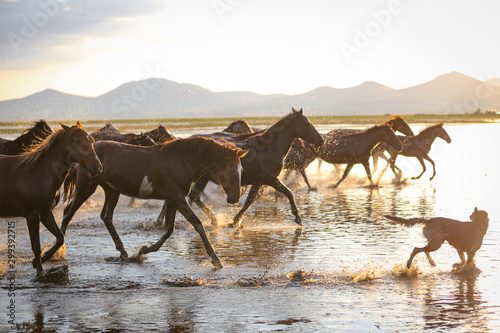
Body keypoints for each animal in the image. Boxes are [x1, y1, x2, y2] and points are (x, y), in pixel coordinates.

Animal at [0, 123, 102, 276]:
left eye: (91, 140)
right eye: (78, 141)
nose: (97, 167)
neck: (38, 173)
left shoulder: (46, 213)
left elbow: (60, 238)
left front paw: (40, 260)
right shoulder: (32, 215)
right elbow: (36, 246)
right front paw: (40, 272)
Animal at [61, 135, 247, 268]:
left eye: (241, 169)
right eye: (231, 168)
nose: (235, 198)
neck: (181, 161)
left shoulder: (172, 199)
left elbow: (169, 230)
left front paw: (144, 250)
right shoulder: (177, 198)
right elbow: (197, 224)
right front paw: (215, 259)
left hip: (112, 191)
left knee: (106, 217)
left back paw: (123, 252)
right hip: (86, 188)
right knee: (68, 212)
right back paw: (58, 248)